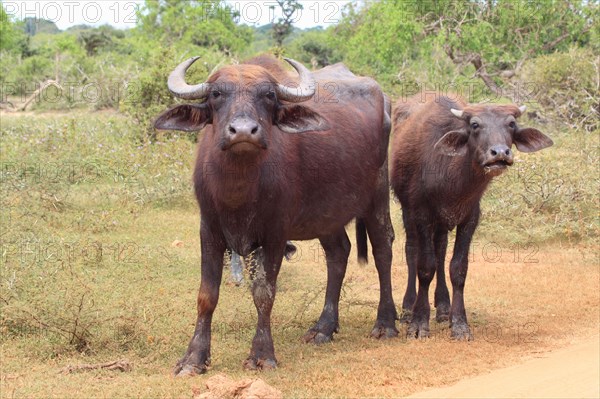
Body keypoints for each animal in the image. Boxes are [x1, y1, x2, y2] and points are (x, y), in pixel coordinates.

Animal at [155, 55, 398, 376]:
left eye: (268, 95)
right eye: (216, 94)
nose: (243, 132)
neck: (238, 188)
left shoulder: (275, 234)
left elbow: (264, 293)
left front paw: (261, 354)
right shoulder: (209, 230)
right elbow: (206, 295)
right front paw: (194, 358)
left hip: (377, 195)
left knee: (383, 247)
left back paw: (385, 323)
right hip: (326, 215)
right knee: (338, 253)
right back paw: (323, 327)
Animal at [390, 93, 552, 340]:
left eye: (511, 124)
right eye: (475, 125)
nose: (500, 153)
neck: (452, 179)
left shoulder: (469, 218)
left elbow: (458, 269)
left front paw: (459, 324)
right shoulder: (421, 213)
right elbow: (425, 266)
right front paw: (418, 323)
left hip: (441, 223)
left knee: (440, 251)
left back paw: (443, 307)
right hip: (408, 212)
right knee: (412, 251)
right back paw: (408, 306)